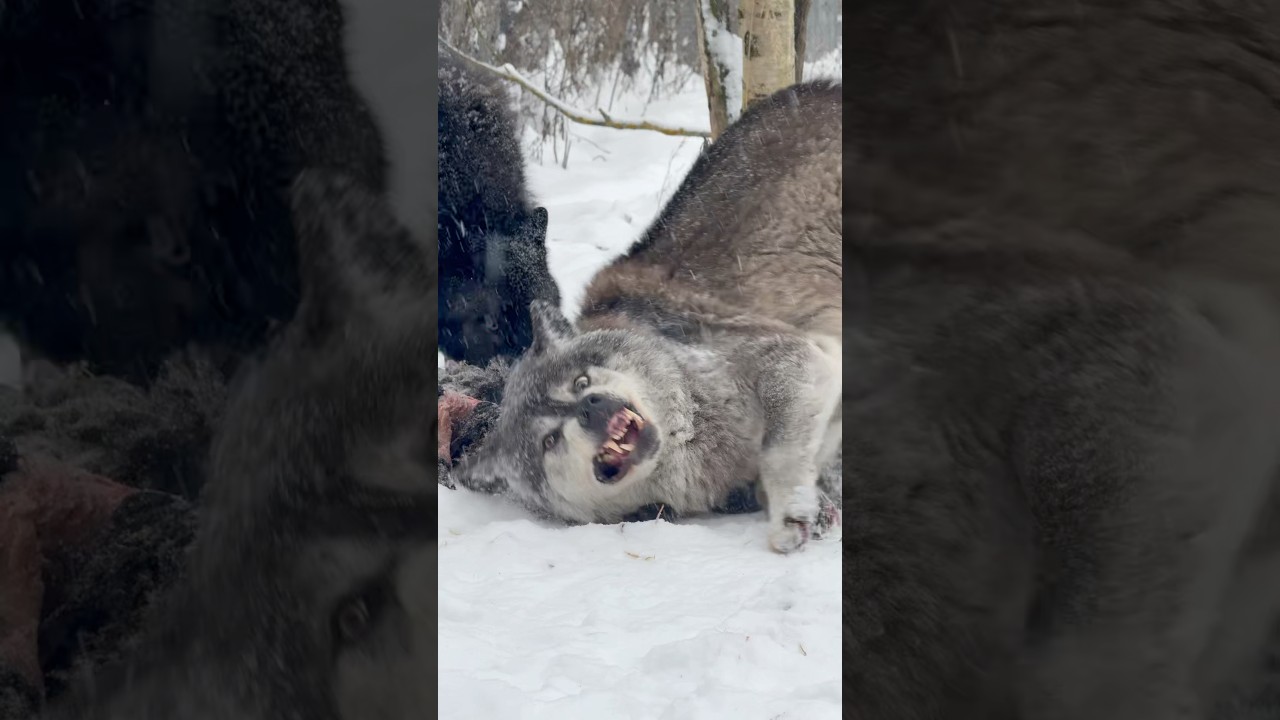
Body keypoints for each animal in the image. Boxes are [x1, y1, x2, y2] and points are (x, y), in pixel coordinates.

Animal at [455, 81, 842, 553]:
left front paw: (794, 509)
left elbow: (778, 450)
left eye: (580, 381)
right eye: (549, 440)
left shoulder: (794, 358)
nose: (590, 407)